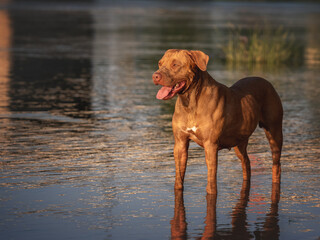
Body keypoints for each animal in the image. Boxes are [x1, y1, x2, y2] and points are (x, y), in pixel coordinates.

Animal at [152, 48, 282, 193]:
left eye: (175, 64)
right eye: (159, 63)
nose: (155, 76)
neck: (190, 101)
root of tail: (267, 82)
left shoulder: (210, 145)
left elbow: (211, 180)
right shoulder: (180, 143)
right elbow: (179, 179)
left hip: (274, 133)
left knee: (276, 164)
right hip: (239, 141)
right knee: (246, 162)